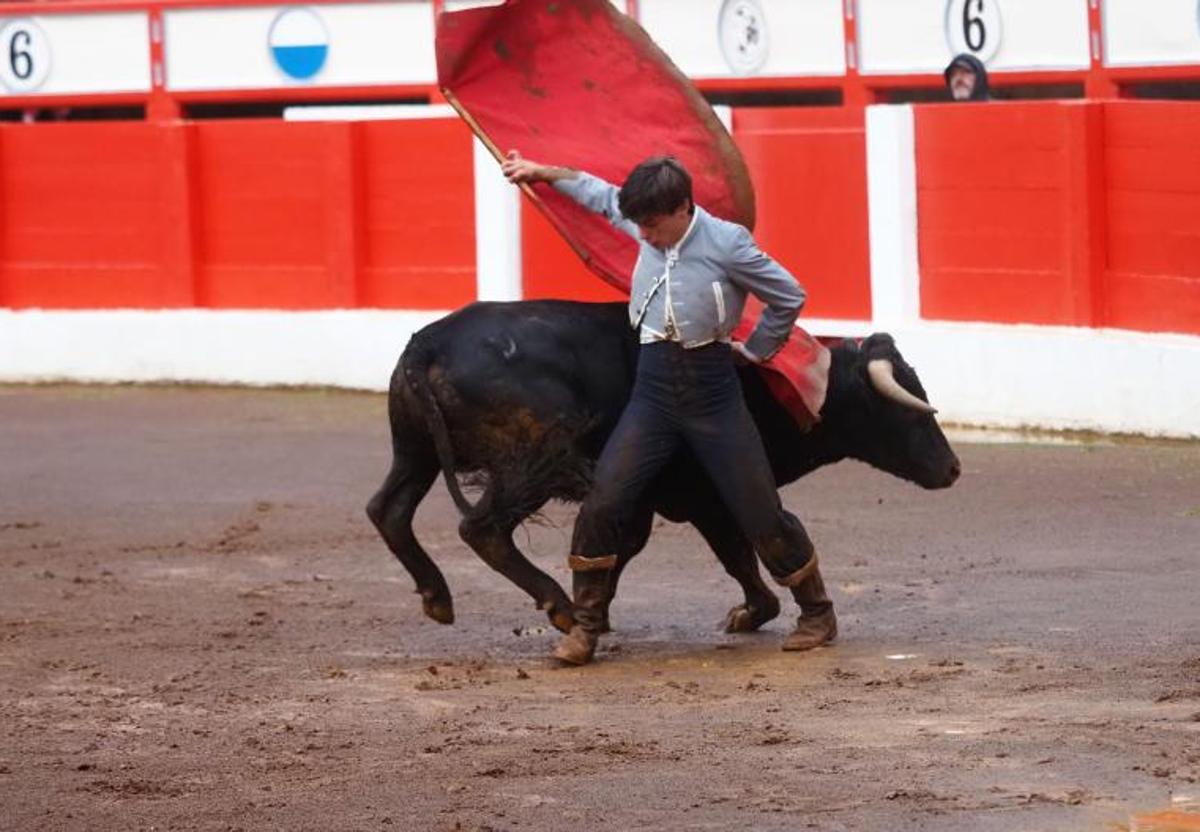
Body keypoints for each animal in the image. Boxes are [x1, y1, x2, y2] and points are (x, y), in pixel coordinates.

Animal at [360, 301, 960, 633]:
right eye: (905, 404)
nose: (952, 469)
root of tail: (427, 344)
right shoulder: (704, 494)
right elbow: (734, 550)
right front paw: (754, 611)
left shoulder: (654, 497)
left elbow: (630, 548)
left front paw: (601, 614)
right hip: (531, 463)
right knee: (481, 528)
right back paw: (556, 604)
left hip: (413, 451)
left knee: (388, 510)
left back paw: (438, 597)